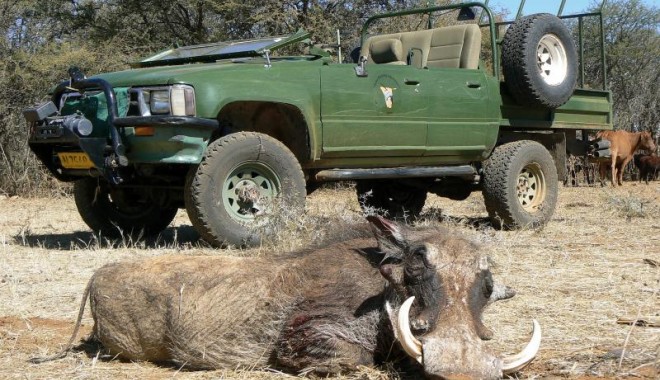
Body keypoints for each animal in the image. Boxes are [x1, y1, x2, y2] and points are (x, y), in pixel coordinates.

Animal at [31, 217, 540, 380]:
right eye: (416, 263)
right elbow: (354, 358)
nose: (463, 371)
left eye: (488, 284)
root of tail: (98, 273)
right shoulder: (305, 333)